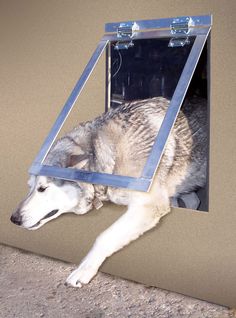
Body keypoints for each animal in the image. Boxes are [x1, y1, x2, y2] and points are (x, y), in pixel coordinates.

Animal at [10, 97, 206, 288]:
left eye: (42, 188)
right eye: (29, 187)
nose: (13, 219)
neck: (111, 158)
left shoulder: (149, 205)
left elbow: (104, 237)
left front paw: (84, 270)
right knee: (192, 200)